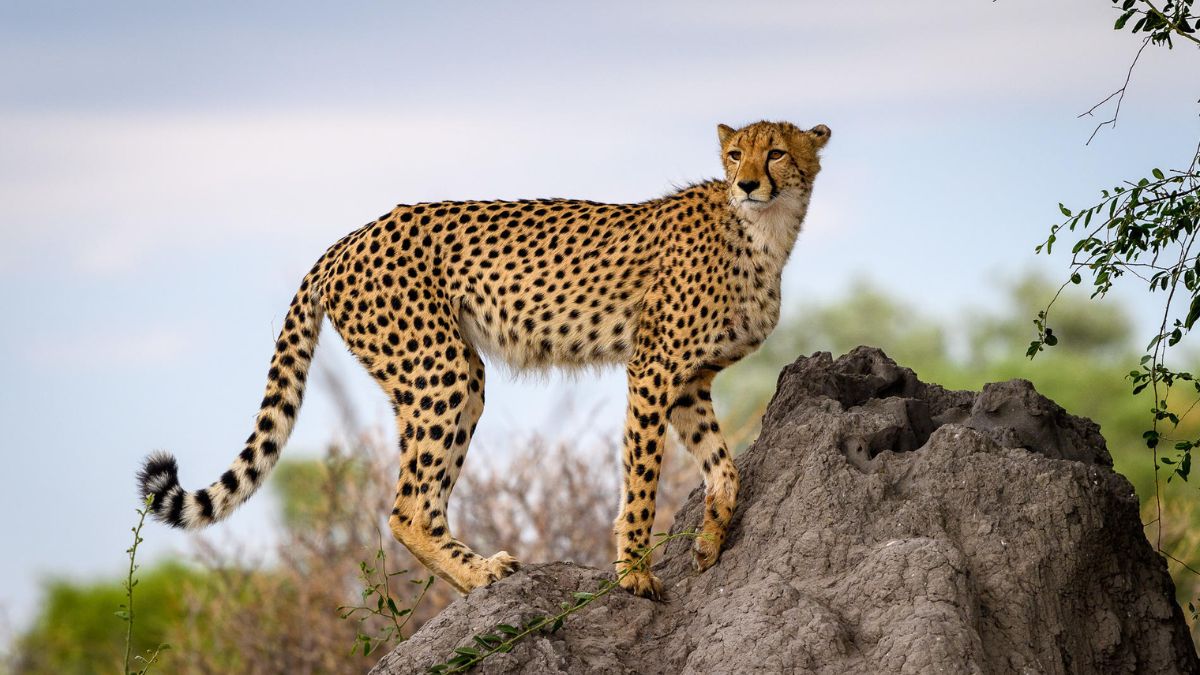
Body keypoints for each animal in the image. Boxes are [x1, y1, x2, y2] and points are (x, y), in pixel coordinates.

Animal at [137, 119, 830, 599]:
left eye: (776, 151)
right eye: (736, 153)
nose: (748, 182)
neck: (764, 233)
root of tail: (348, 237)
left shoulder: (689, 382)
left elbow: (724, 469)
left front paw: (710, 544)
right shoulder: (652, 369)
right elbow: (642, 477)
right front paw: (633, 573)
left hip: (448, 377)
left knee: (422, 500)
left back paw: (476, 575)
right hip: (438, 369)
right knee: (406, 509)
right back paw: (483, 577)